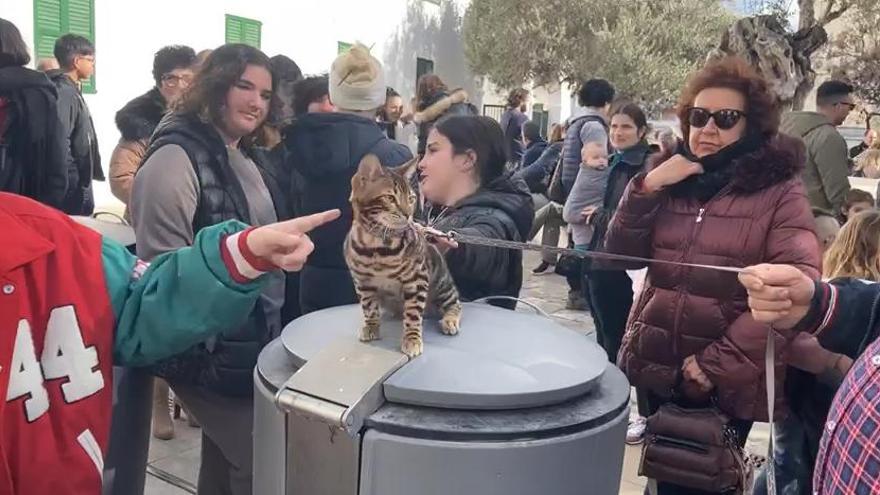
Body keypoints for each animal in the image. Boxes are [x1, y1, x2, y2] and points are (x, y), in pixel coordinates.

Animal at [346, 155, 464, 356]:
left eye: (411, 198)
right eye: (389, 198)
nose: (408, 215)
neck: (376, 247)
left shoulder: (417, 280)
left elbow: (413, 314)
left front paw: (412, 339)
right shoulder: (362, 282)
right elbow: (369, 308)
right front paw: (371, 326)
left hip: (441, 282)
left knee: (455, 303)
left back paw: (450, 319)